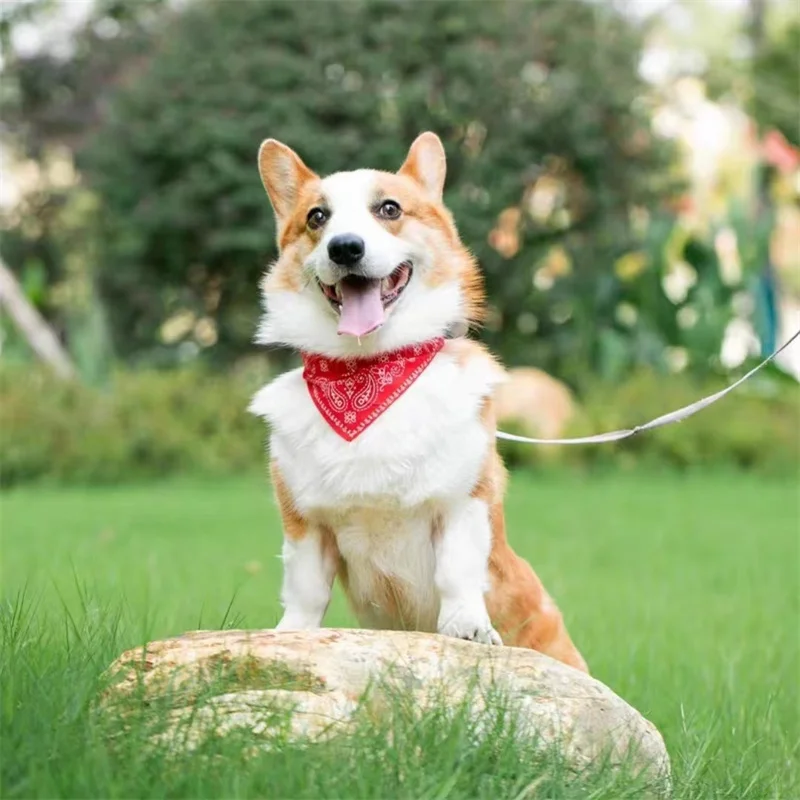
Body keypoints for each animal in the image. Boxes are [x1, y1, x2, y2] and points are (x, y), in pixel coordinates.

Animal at [250, 134, 588, 672]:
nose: (345, 247)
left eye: (389, 209)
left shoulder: (463, 501)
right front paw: (290, 634)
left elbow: (457, 571)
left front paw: (467, 627)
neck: (368, 369)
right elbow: (305, 589)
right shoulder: (305, 522)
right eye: (317, 218)